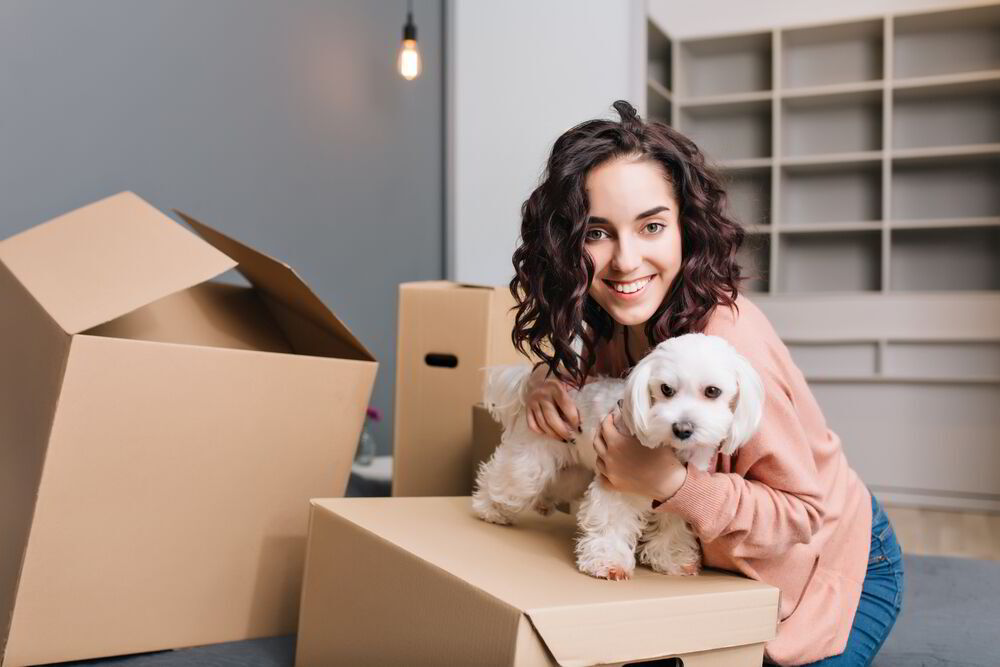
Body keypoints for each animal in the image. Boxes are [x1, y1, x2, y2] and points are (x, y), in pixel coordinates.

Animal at [472, 332, 760, 580]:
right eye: (666, 389)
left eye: (712, 391)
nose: (682, 428)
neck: (669, 449)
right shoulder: (615, 482)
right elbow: (612, 520)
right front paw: (608, 562)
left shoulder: (677, 489)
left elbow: (673, 523)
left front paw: (673, 558)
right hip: (531, 460)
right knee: (510, 480)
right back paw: (489, 509)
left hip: (575, 473)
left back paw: (542, 503)